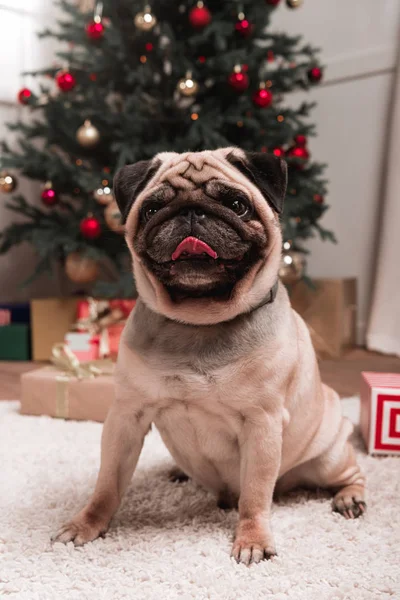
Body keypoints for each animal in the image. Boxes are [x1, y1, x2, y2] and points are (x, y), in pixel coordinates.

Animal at [54, 148, 366, 564]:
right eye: (152, 209)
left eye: (237, 205)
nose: (191, 211)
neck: (198, 323)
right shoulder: (126, 416)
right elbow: (108, 484)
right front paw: (87, 524)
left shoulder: (262, 425)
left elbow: (255, 496)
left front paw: (252, 540)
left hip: (328, 456)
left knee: (350, 473)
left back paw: (350, 498)